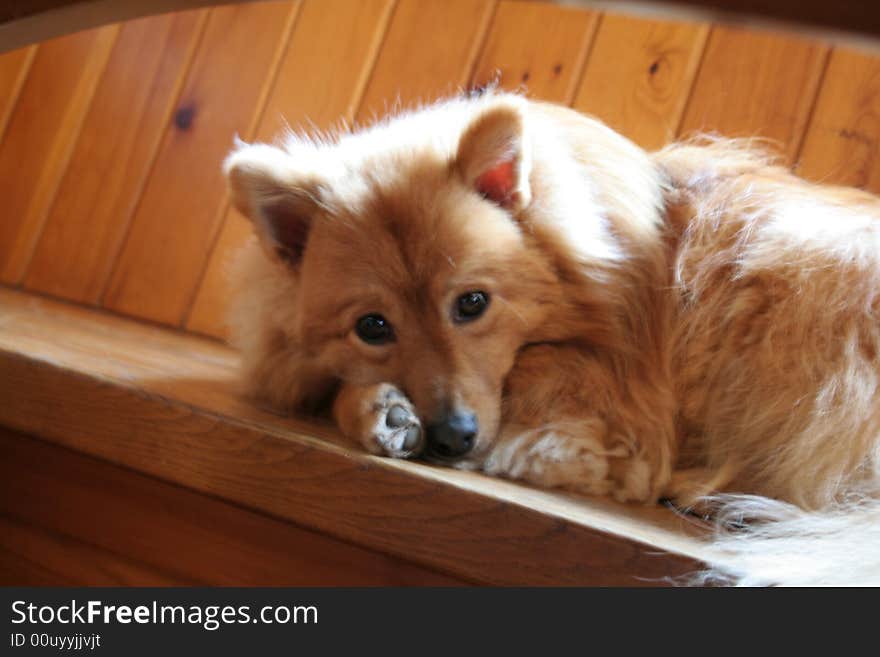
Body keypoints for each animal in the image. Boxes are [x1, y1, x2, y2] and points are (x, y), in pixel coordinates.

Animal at [225, 91, 880, 584]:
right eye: (372, 327)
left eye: (472, 303)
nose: (451, 437)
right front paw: (380, 409)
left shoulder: (616, 418)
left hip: (797, 263)